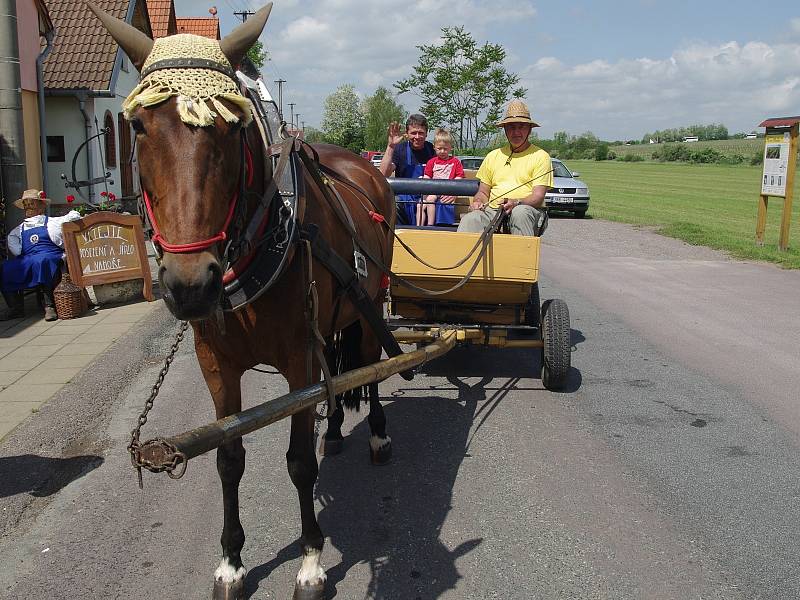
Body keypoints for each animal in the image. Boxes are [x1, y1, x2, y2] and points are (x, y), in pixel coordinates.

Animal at [87, 4, 396, 600]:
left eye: (231, 127)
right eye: (137, 126)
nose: (190, 285)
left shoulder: (298, 360)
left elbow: (298, 461)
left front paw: (311, 560)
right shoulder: (217, 364)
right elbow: (228, 456)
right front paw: (231, 560)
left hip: (370, 304)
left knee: (369, 370)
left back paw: (375, 434)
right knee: (340, 371)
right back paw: (337, 432)